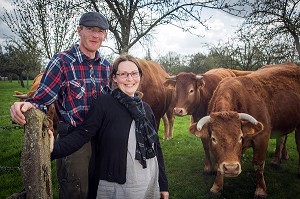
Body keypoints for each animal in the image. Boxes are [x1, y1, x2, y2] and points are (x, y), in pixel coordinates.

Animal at [190, 62, 300, 197]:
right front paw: (216, 187)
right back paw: (276, 161)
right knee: (282, 138)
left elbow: (258, 164)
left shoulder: (262, 138)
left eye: (240, 137)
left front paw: (260, 190)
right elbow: (219, 163)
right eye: (213, 138)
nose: (231, 168)